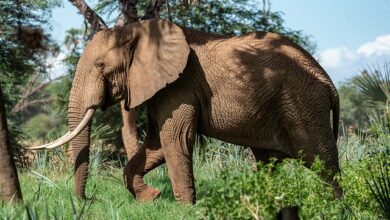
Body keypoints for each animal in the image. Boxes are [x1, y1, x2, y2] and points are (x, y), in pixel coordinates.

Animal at [31, 18, 342, 203]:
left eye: (100, 66)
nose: (90, 200)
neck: (138, 30)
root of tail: (329, 82)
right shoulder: (162, 88)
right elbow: (156, 144)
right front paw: (152, 197)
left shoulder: (180, 85)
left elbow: (175, 139)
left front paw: (185, 209)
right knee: (269, 161)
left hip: (303, 103)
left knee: (321, 159)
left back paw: (336, 206)